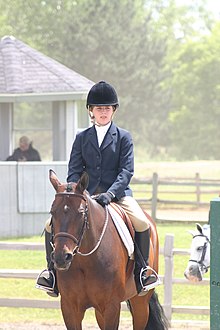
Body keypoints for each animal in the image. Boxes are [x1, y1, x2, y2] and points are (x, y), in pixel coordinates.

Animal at [48, 170, 168, 330]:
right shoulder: (70, 307)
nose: (61, 257)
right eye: (52, 212)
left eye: (81, 212)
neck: (86, 261)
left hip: (140, 303)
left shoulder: (111, 306)